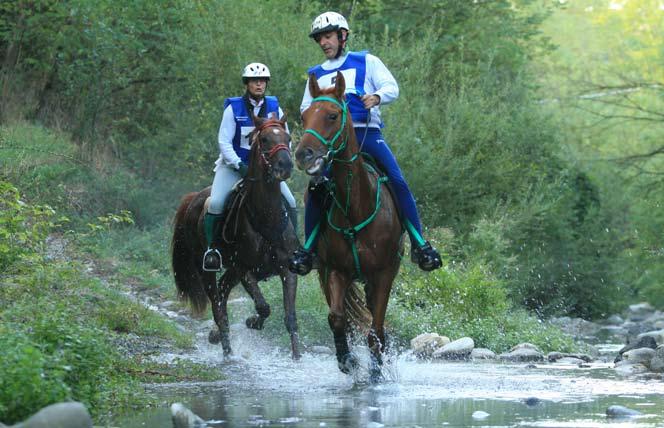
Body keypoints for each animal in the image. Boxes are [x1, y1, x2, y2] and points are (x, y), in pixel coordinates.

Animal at [171, 115, 300, 360]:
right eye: (265, 139)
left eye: (288, 138)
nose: (286, 166)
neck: (267, 218)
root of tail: (194, 198)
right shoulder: (244, 269)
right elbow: (263, 307)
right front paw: (252, 322)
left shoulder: (286, 270)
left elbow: (290, 318)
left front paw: (297, 358)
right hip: (206, 267)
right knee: (218, 306)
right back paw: (227, 350)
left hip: (232, 270)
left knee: (223, 289)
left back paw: (216, 336)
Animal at [296, 73, 404, 382]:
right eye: (304, 115)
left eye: (332, 115)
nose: (303, 154)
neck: (355, 209)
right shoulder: (336, 271)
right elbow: (337, 318)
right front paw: (347, 360)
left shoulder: (383, 274)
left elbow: (375, 330)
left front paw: (376, 374)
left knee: (376, 327)